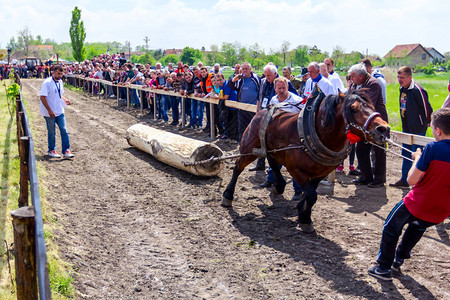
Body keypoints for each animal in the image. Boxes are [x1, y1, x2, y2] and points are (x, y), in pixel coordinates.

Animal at [222, 89, 390, 232]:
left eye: (372, 106)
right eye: (353, 109)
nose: (383, 129)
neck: (318, 133)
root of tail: (261, 111)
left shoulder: (321, 172)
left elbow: (310, 194)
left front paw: (302, 212)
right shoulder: (296, 170)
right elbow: (311, 195)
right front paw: (306, 220)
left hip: (272, 149)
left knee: (272, 161)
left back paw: (279, 186)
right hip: (249, 148)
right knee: (238, 167)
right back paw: (228, 195)